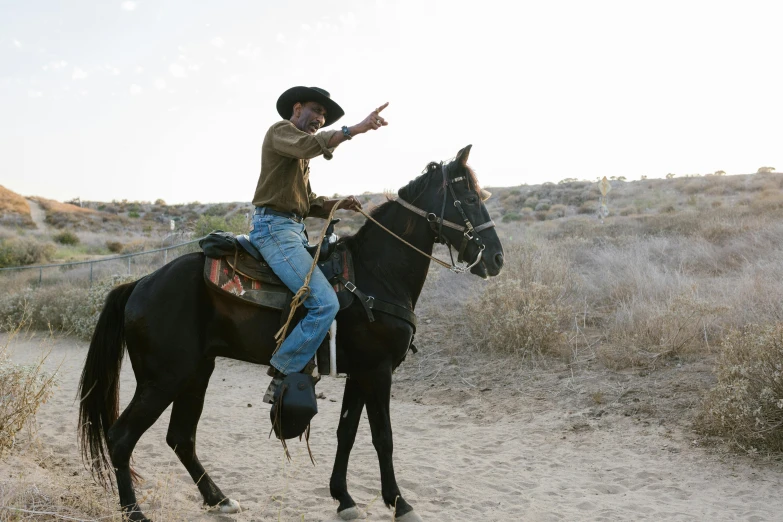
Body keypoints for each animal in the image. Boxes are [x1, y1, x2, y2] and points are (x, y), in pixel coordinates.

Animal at [78, 143, 502, 520]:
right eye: (468, 195)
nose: (496, 258)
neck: (376, 274)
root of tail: (139, 284)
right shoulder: (378, 371)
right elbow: (383, 438)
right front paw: (399, 504)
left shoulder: (359, 373)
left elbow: (347, 432)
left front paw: (344, 499)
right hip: (163, 378)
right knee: (121, 438)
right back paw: (135, 512)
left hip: (196, 371)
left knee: (181, 437)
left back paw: (220, 499)